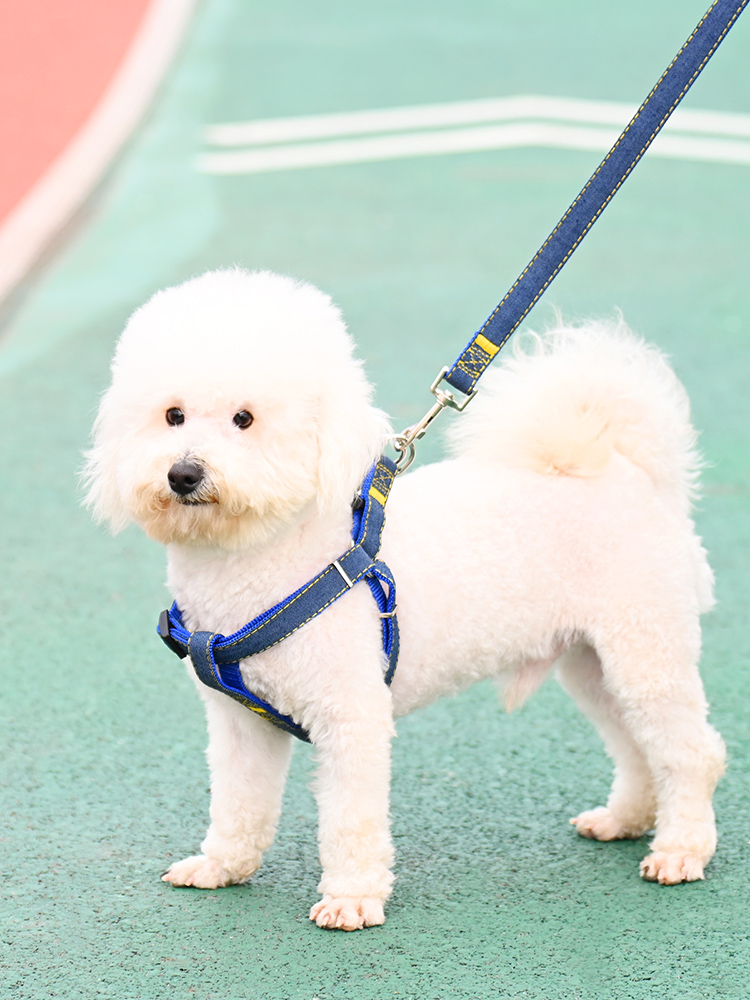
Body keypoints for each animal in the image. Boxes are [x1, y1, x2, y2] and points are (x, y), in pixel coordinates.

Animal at [83, 268, 728, 928]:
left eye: (245, 418)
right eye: (172, 415)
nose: (183, 473)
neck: (272, 558)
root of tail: (627, 471)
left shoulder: (351, 716)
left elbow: (350, 820)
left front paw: (351, 898)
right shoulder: (242, 722)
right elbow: (238, 803)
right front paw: (222, 866)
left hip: (645, 650)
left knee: (692, 753)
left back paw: (681, 849)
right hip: (594, 663)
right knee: (636, 745)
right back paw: (627, 820)